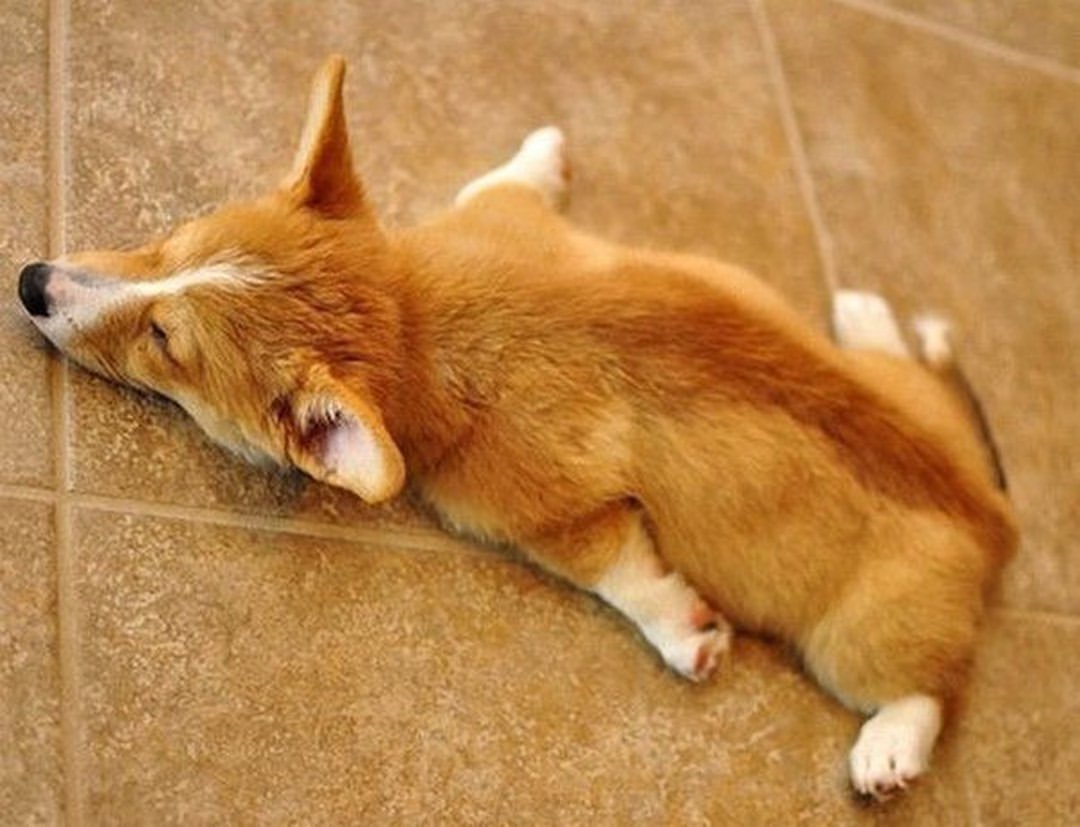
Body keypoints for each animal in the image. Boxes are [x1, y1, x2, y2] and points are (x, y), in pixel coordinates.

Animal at [14, 55, 1010, 798]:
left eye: (163, 340)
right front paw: (546, 149)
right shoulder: (495, 220)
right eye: (175, 237)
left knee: (933, 685)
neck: (411, 318)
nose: (29, 282)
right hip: (911, 399)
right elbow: (508, 179)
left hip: (861, 635)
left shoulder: (546, 512)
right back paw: (873, 320)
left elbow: (621, 570)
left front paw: (687, 633)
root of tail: (997, 519)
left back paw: (890, 747)